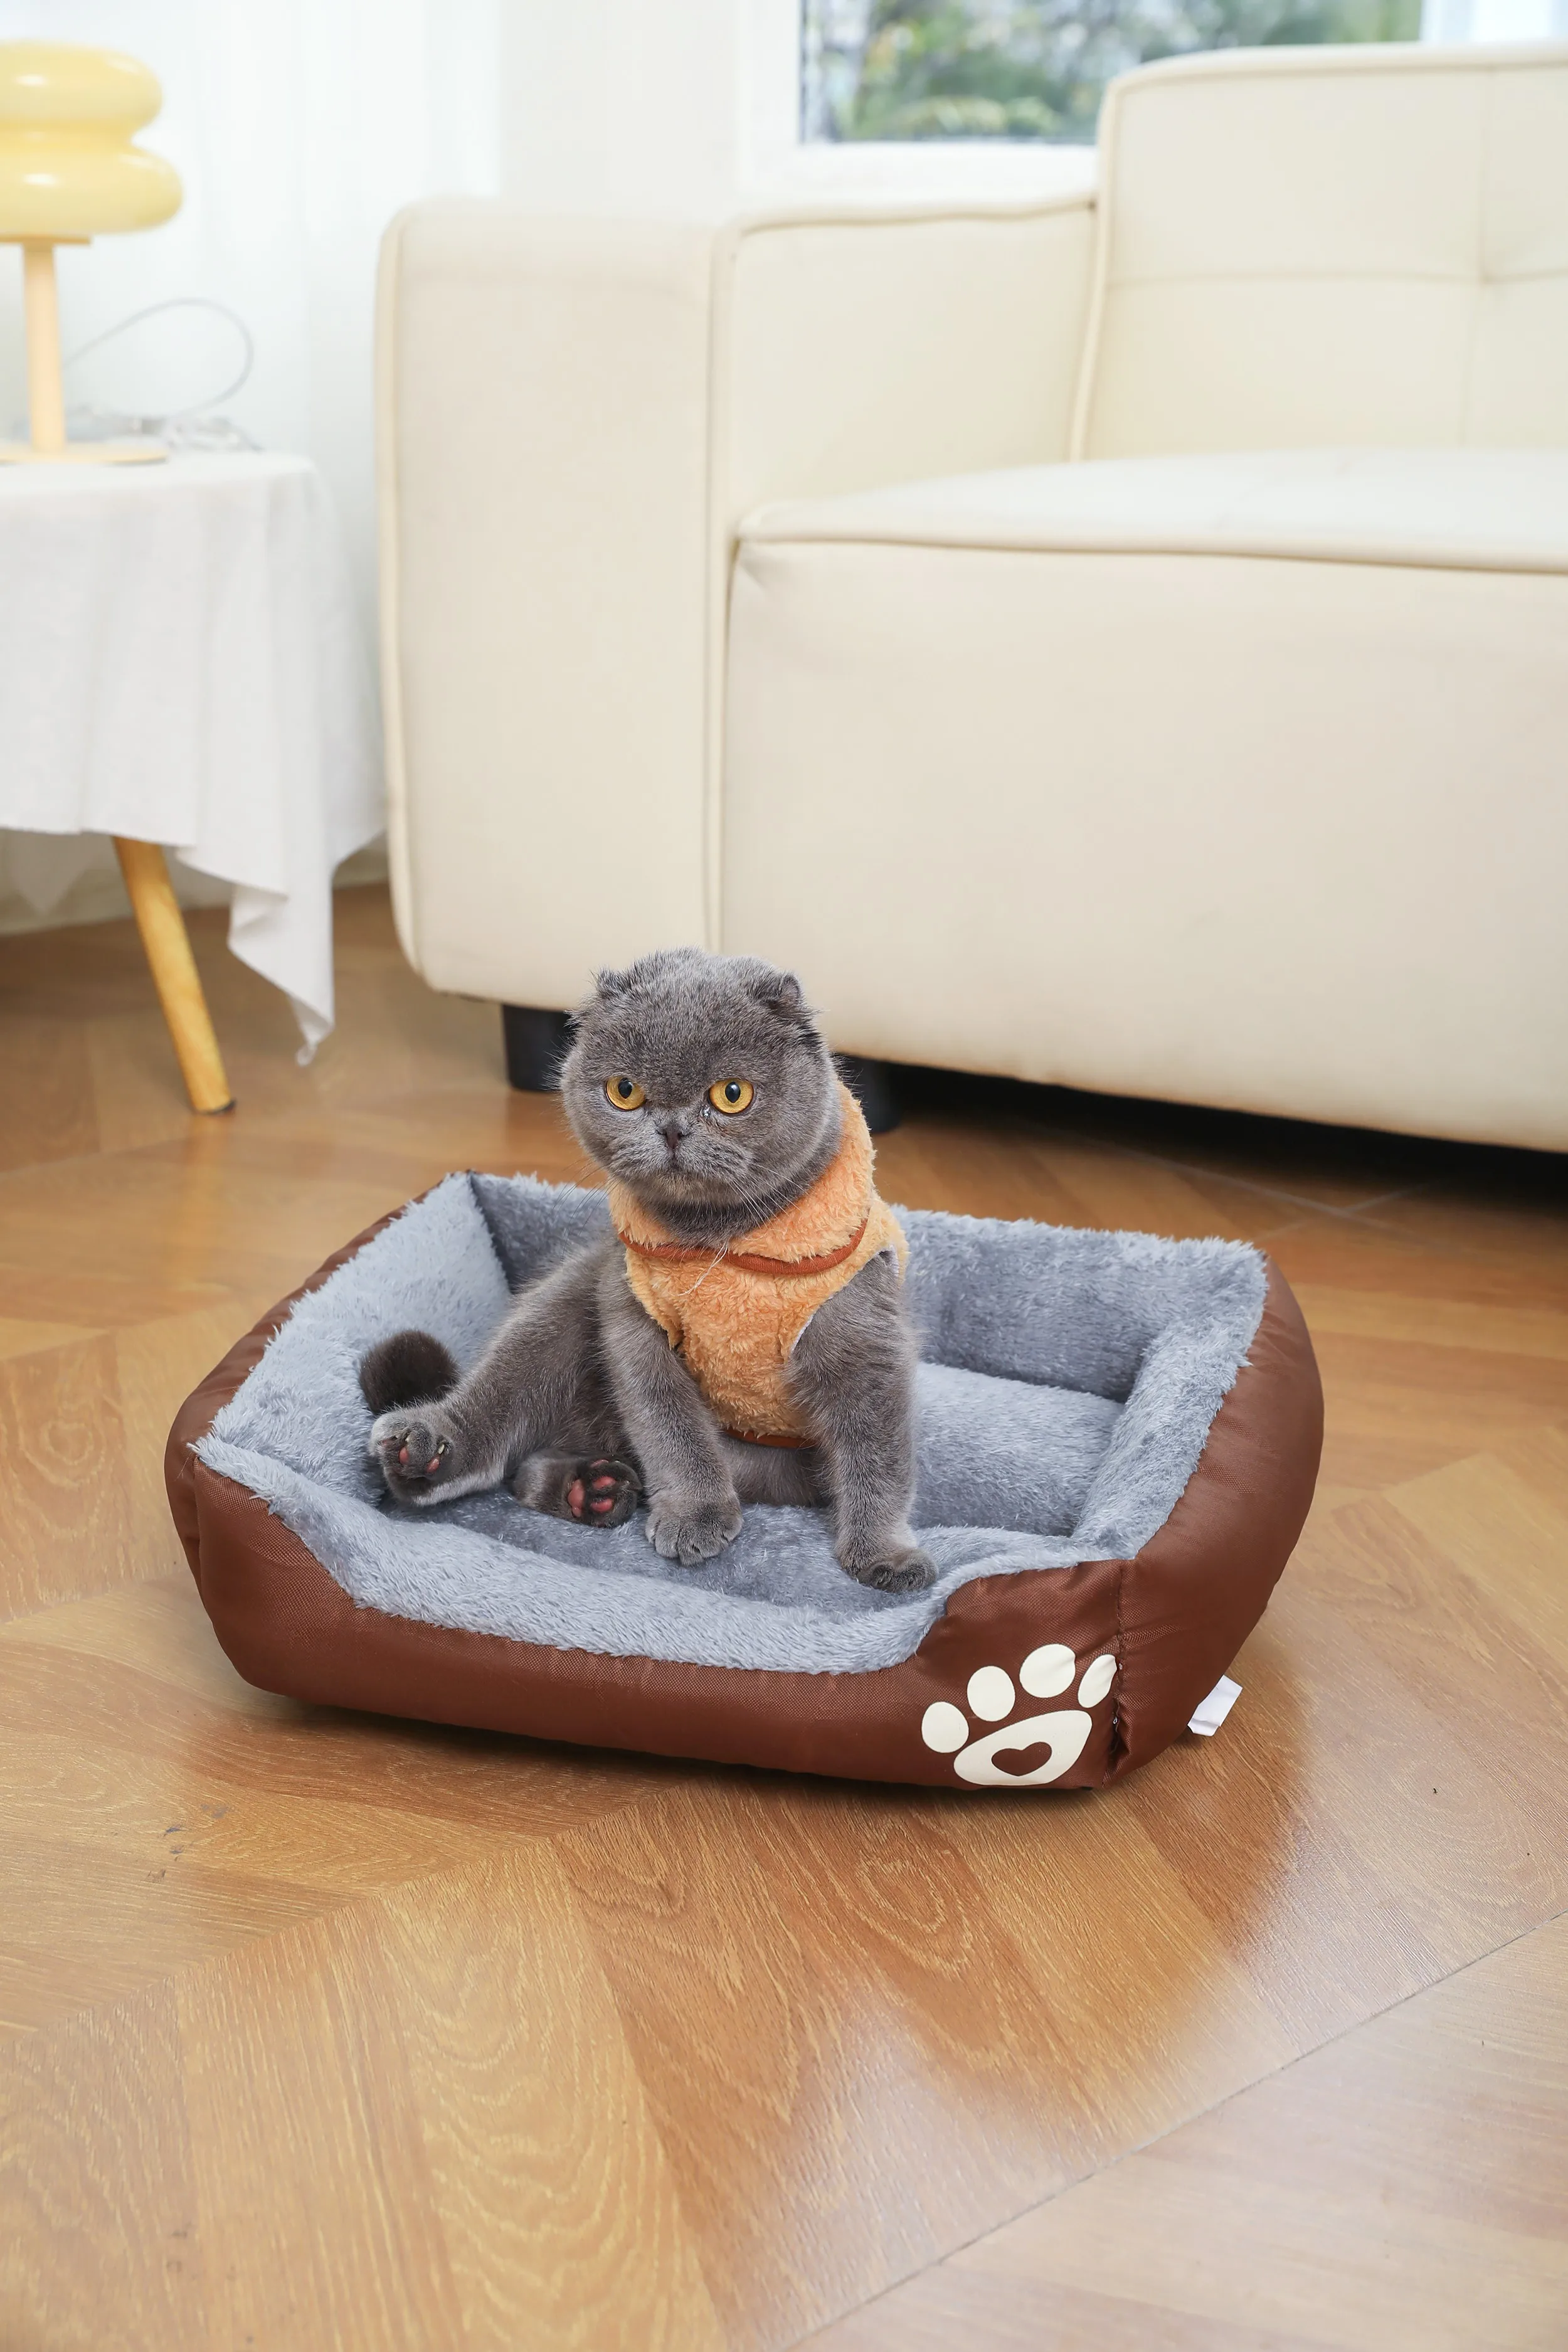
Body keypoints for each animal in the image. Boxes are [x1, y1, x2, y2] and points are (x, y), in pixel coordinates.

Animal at [361, 947, 935, 1593]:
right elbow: (670, 1428)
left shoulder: (862, 1338)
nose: (672, 1127)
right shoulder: (634, 1317)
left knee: (526, 1467)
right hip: (570, 1296)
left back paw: (592, 1490)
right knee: (500, 1425)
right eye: (625, 1091)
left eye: (732, 1094)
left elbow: (877, 1452)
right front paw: (696, 1514)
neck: (716, 1246)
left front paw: (884, 1555)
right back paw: (435, 1454)